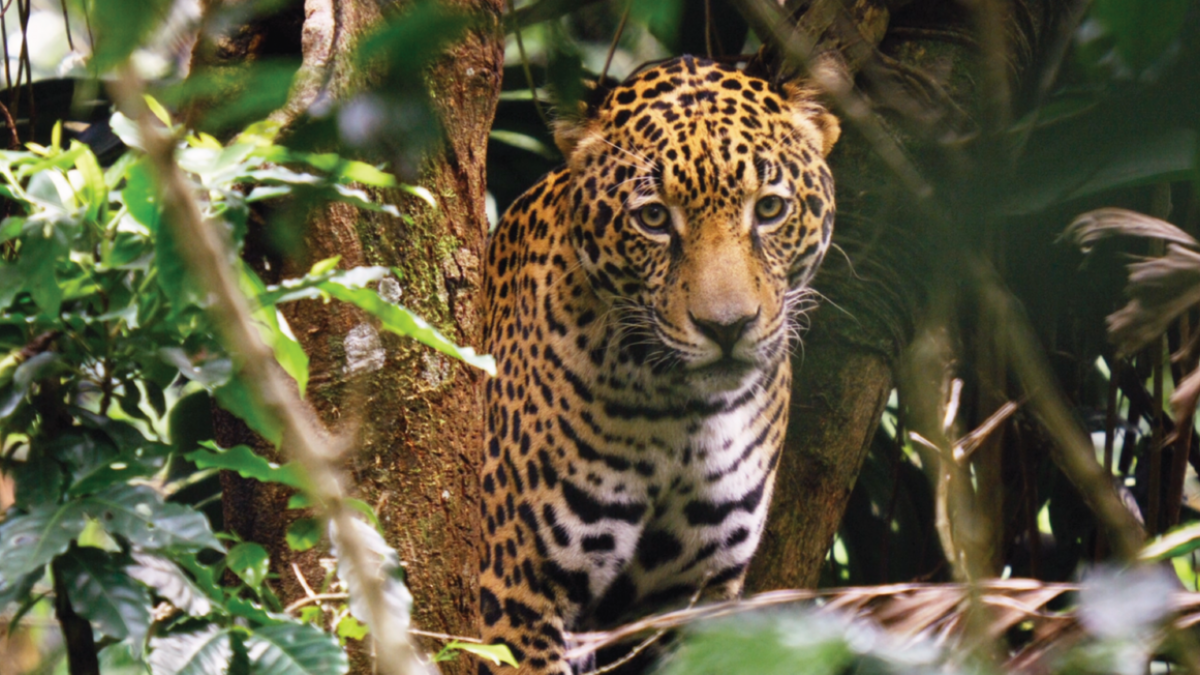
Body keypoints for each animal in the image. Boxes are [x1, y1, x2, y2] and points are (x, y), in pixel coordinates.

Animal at [478, 55, 840, 675]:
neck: (683, 414)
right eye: (652, 218)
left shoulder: (694, 596)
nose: (727, 326)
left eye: (769, 209)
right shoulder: (520, 591)